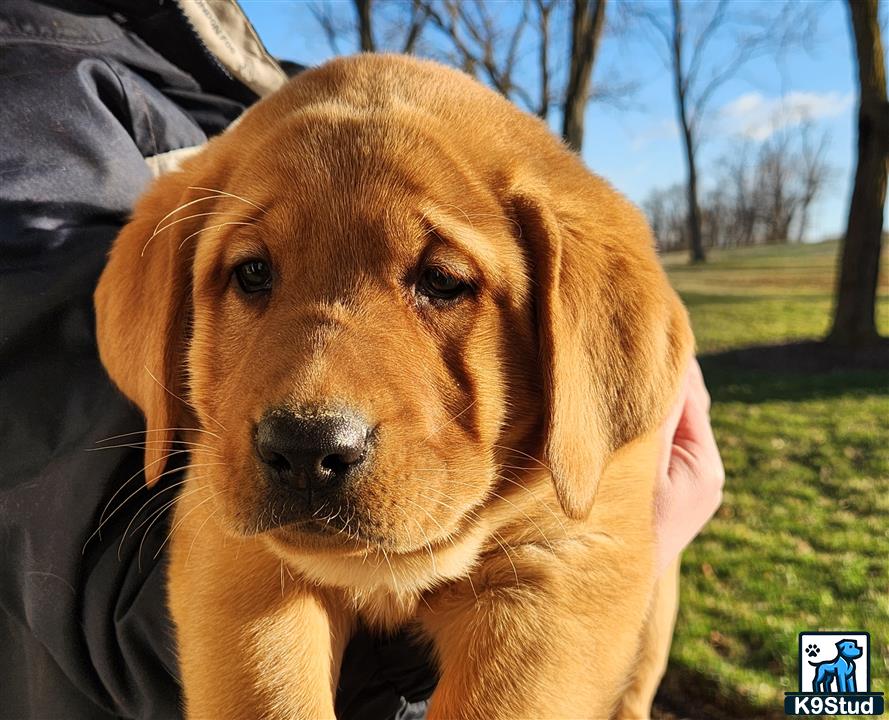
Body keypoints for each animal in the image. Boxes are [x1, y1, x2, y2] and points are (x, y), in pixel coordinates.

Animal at [97, 53, 692, 716]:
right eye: (251, 272)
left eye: (441, 281)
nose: (306, 448)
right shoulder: (229, 545)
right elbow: (270, 689)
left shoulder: (571, 557)